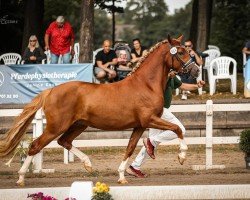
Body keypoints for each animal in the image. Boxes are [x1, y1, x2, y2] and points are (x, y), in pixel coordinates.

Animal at [0, 35, 191, 185]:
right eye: (181, 52)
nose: (193, 69)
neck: (145, 85)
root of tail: (51, 91)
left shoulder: (140, 125)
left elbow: (130, 148)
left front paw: (121, 176)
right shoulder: (150, 119)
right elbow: (178, 129)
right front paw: (182, 157)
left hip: (78, 125)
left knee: (64, 141)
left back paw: (88, 164)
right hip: (56, 127)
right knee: (36, 145)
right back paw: (21, 178)